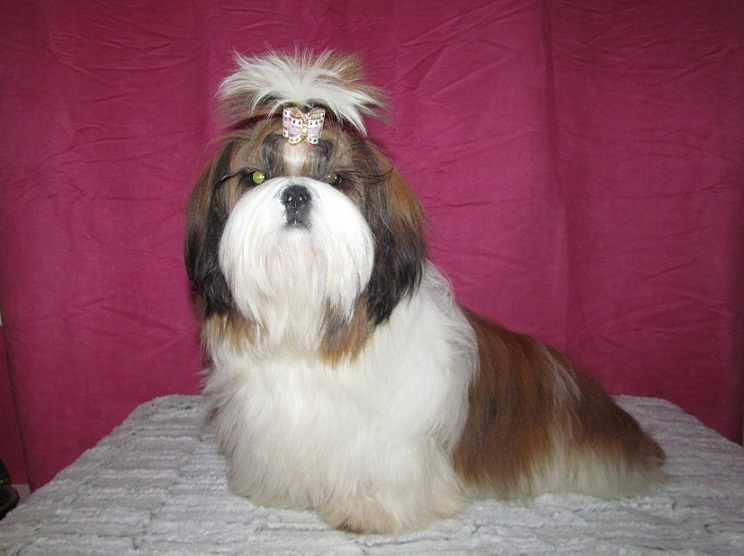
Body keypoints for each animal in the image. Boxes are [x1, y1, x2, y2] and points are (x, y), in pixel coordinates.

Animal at [185, 50, 665, 534]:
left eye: (338, 180)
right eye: (256, 176)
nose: (296, 193)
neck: (307, 315)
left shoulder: (391, 435)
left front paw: (371, 507)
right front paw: (278, 491)